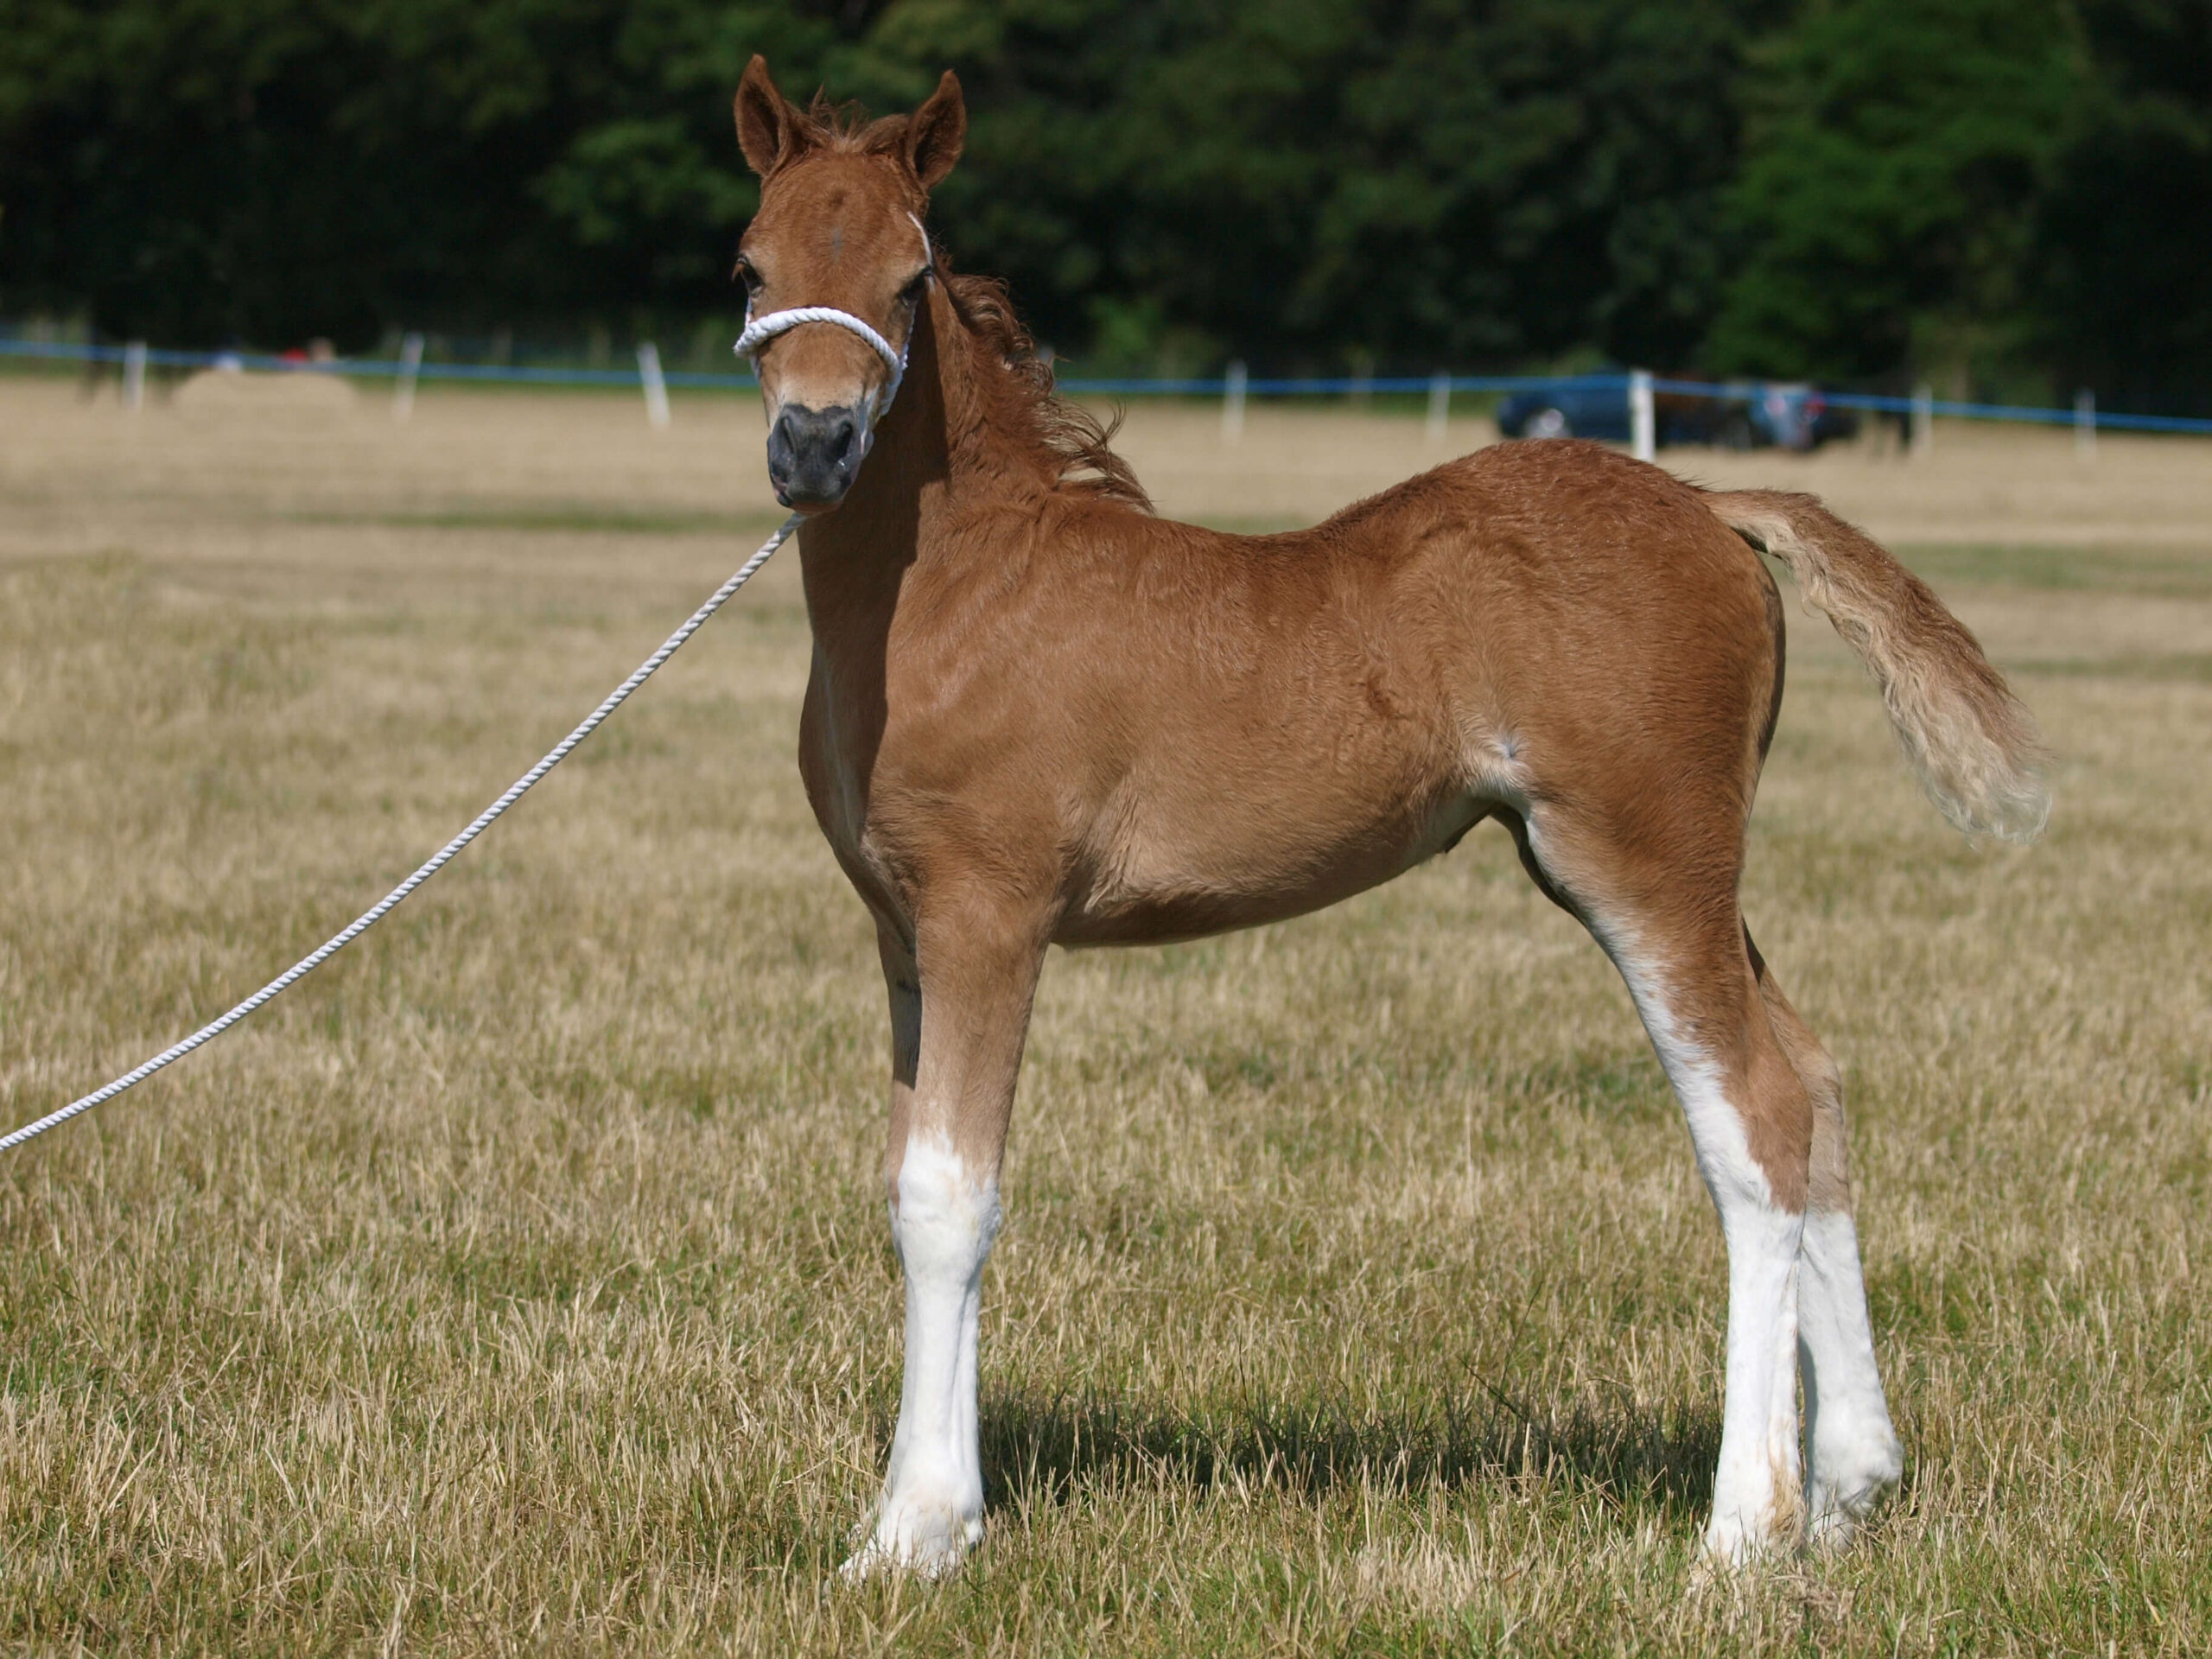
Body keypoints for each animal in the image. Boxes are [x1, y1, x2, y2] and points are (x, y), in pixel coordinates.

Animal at [724, 57, 2049, 1576]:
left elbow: (953, 1200)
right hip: (1679, 875)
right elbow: (902, 1186)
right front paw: (911, 1509)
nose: (814, 449)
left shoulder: (990, 917)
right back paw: (1851, 1483)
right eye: (750, 266)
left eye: (908, 275)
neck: (961, 581)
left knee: (1757, 1118)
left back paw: (1740, 1527)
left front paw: (918, 1535)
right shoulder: (904, 932)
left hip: (1644, 866)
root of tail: (1714, 502)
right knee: (1817, 1081)